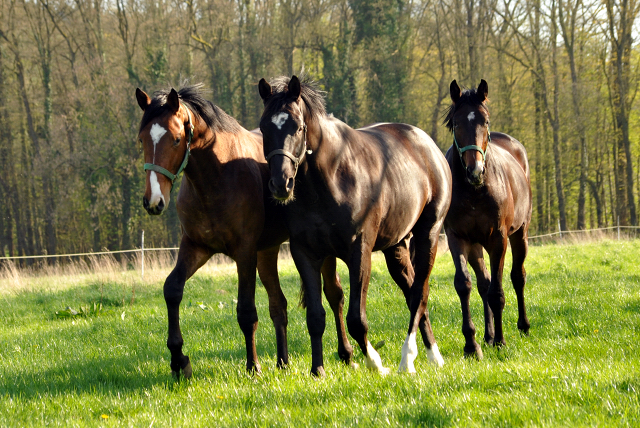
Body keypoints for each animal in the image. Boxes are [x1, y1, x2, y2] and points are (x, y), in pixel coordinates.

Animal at [136, 83, 356, 378]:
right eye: (142, 140)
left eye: (175, 139)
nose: (154, 201)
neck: (217, 177)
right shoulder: (196, 247)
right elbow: (172, 289)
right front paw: (178, 359)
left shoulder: (244, 253)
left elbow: (246, 311)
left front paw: (253, 366)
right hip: (268, 252)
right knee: (279, 304)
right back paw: (283, 361)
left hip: (319, 253)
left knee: (334, 295)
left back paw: (345, 353)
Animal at [256, 76, 450, 374]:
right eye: (265, 126)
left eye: (298, 126)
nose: (281, 184)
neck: (330, 179)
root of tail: (428, 145)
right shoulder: (306, 254)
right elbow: (316, 316)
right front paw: (317, 370)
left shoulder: (359, 253)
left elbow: (357, 320)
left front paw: (375, 362)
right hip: (396, 247)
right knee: (412, 292)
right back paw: (430, 354)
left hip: (428, 233)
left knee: (419, 293)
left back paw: (409, 358)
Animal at [442, 79, 532, 358]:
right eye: (457, 123)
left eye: (486, 121)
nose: (475, 170)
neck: (476, 190)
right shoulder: (457, 238)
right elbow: (465, 285)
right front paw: (472, 345)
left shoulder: (498, 240)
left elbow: (498, 292)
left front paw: (502, 341)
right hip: (475, 246)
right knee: (483, 283)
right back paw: (488, 336)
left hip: (520, 235)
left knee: (517, 276)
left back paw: (522, 326)